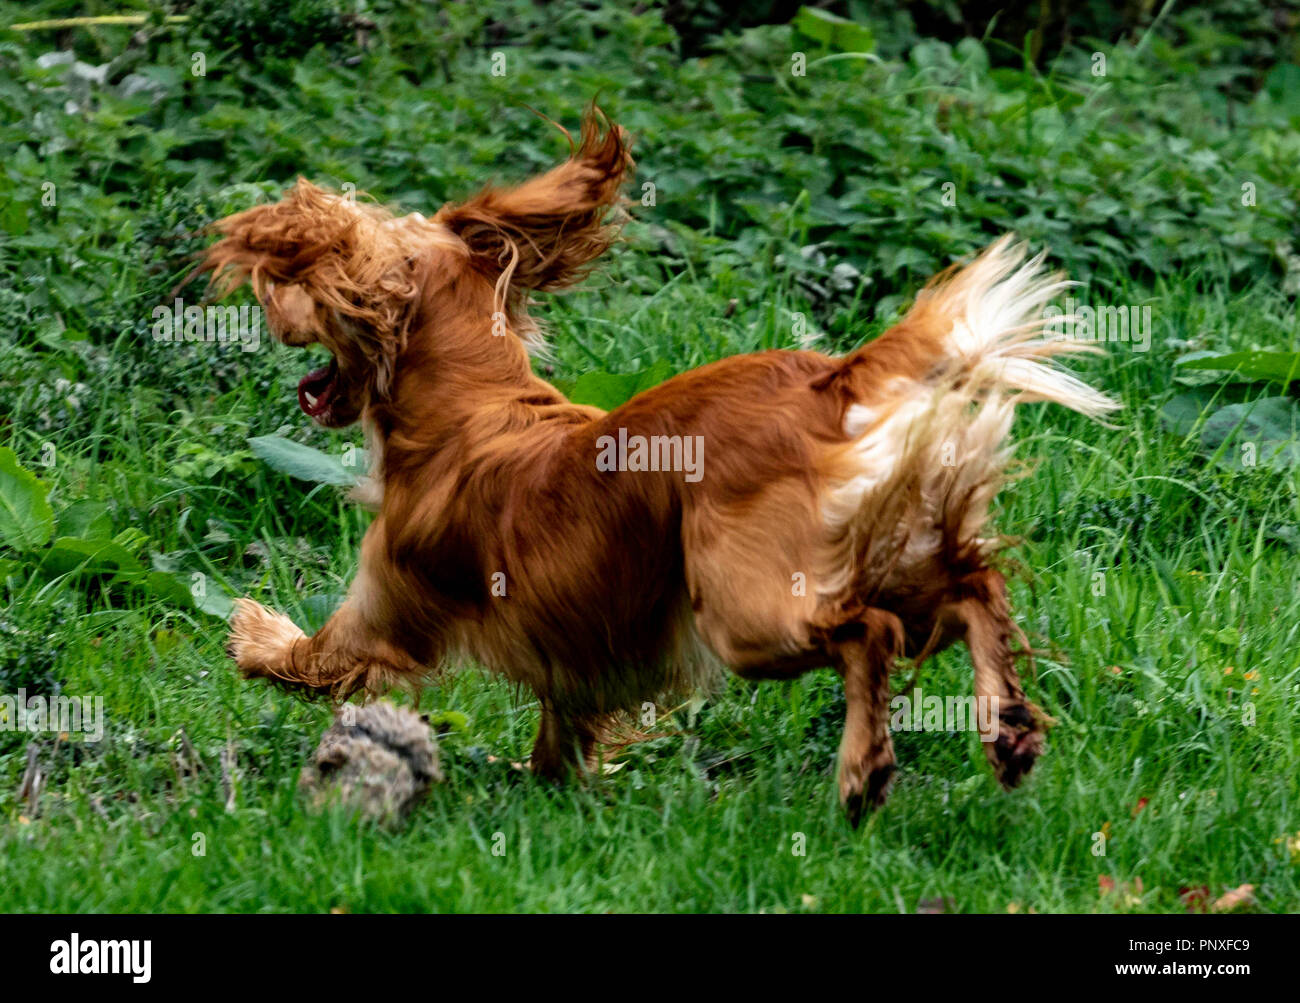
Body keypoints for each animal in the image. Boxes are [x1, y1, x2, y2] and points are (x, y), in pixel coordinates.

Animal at [197, 109, 1112, 821]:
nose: (272, 307)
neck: (471, 405)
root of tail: (823, 382)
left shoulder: (384, 604)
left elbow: (308, 656)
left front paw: (252, 632)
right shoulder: (571, 649)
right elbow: (562, 727)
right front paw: (548, 784)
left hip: (747, 611)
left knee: (872, 631)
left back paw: (865, 771)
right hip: (889, 544)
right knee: (972, 588)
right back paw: (1008, 729)